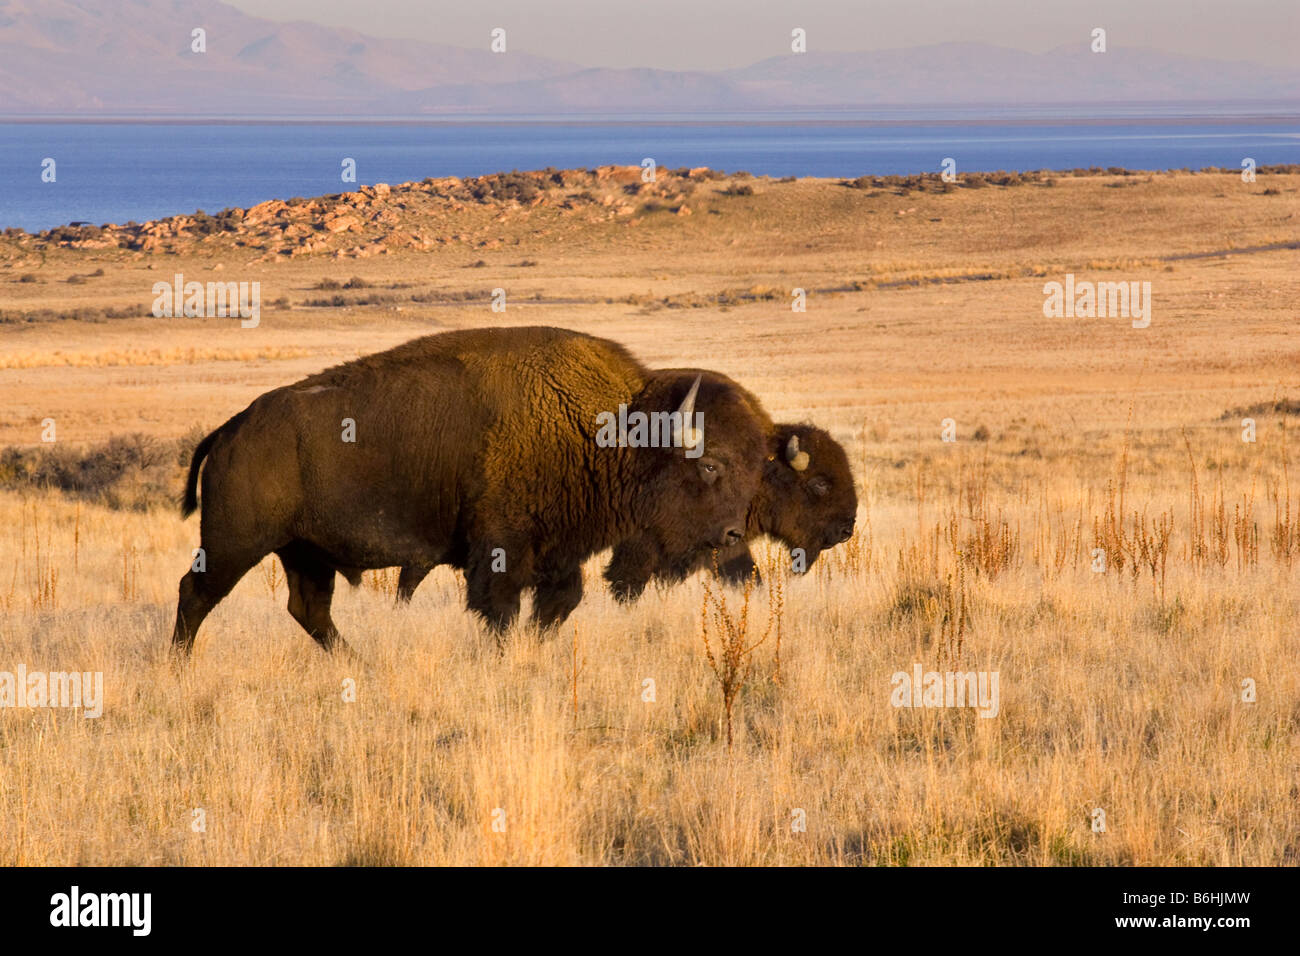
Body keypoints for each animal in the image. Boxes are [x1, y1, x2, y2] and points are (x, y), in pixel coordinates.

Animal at [167, 325, 764, 655]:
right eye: (710, 465)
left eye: (758, 466)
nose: (732, 533)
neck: (611, 428)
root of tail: (232, 427)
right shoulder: (500, 551)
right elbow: (499, 611)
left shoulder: (557, 553)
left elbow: (558, 605)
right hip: (235, 543)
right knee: (195, 593)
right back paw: (177, 668)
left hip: (304, 552)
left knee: (309, 610)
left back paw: (359, 665)